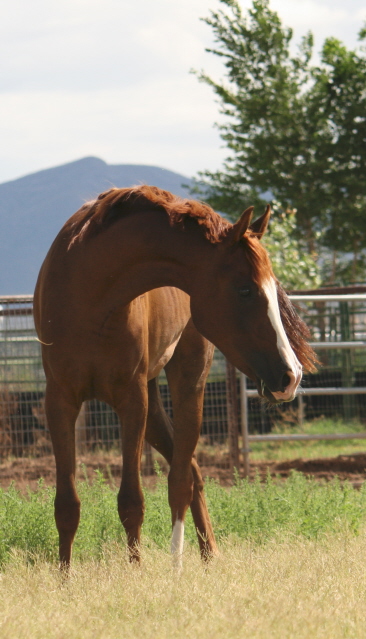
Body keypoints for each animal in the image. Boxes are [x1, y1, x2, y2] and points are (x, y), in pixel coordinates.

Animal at [33, 188, 316, 568]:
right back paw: (205, 555)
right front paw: (64, 577)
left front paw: (135, 572)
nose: (292, 375)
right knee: (192, 471)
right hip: (152, 406)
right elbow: (66, 505)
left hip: (186, 383)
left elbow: (132, 501)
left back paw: (186, 561)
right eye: (245, 290)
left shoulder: (132, 401)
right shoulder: (60, 401)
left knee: (182, 479)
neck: (90, 293)